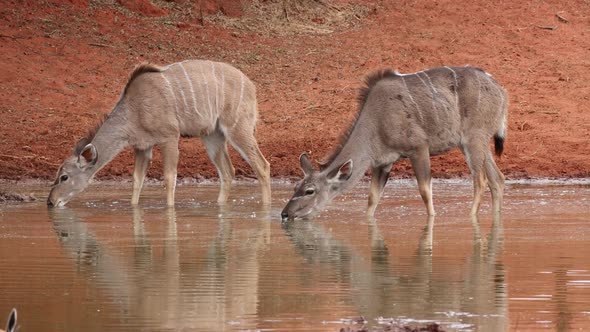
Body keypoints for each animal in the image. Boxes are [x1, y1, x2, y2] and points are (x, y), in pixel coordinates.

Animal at [48, 59, 272, 208]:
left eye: (64, 177)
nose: (50, 201)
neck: (134, 109)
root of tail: (251, 86)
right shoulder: (142, 146)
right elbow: (137, 180)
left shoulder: (170, 137)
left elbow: (169, 177)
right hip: (212, 135)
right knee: (228, 171)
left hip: (238, 128)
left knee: (262, 165)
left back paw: (266, 208)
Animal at [282, 66, 508, 219]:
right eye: (295, 186)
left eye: (310, 191)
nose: (285, 214)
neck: (377, 121)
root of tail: (500, 91)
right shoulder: (383, 162)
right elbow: (373, 198)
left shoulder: (418, 148)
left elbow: (425, 191)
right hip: (476, 142)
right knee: (497, 178)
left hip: (473, 140)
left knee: (481, 180)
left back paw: (471, 217)